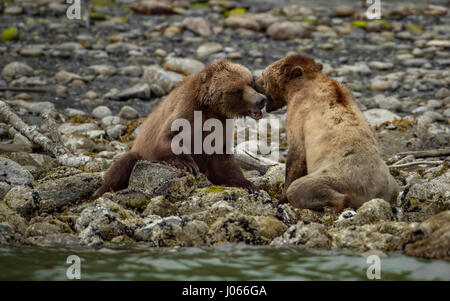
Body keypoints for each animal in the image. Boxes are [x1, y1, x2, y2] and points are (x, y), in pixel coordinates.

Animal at [92, 59, 266, 198]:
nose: (261, 100)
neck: (210, 109)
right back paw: (101, 191)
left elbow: (224, 162)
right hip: (139, 153)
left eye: (251, 82)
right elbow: (169, 138)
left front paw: (249, 185)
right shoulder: (187, 110)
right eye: (237, 90)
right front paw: (188, 164)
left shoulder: (221, 126)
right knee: (124, 164)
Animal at [255, 54, 400, 211]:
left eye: (263, 74)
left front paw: (280, 200)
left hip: (340, 176)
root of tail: (371, 195)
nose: (254, 81)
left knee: (304, 187)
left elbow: (296, 156)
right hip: (389, 184)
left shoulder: (298, 116)